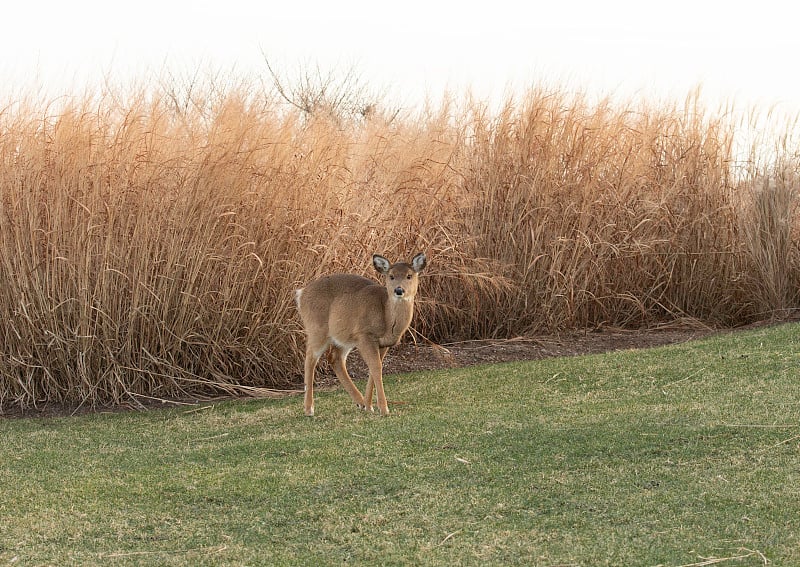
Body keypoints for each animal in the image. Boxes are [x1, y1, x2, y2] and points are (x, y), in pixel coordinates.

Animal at [294, 253, 428, 418]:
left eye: (409, 275)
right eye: (391, 276)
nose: (398, 290)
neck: (386, 315)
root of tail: (301, 294)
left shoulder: (383, 343)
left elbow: (374, 368)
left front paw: (370, 406)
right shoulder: (365, 335)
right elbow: (376, 367)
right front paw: (384, 409)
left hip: (343, 337)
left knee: (334, 358)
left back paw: (361, 403)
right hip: (317, 328)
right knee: (310, 359)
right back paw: (309, 409)